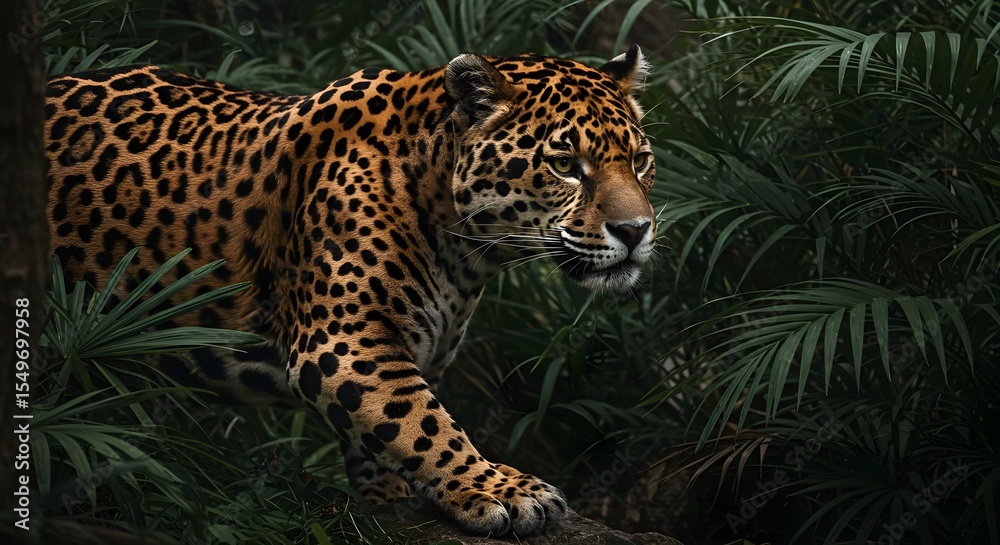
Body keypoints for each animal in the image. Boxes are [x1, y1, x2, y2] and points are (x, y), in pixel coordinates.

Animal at [44, 45, 657, 536]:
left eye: (641, 161)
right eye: (565, 164)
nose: (635, 231)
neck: (463, 249)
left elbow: (391, 426)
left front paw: (389, 493)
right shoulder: (343, 342)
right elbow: (423, 422)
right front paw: (497, 489)